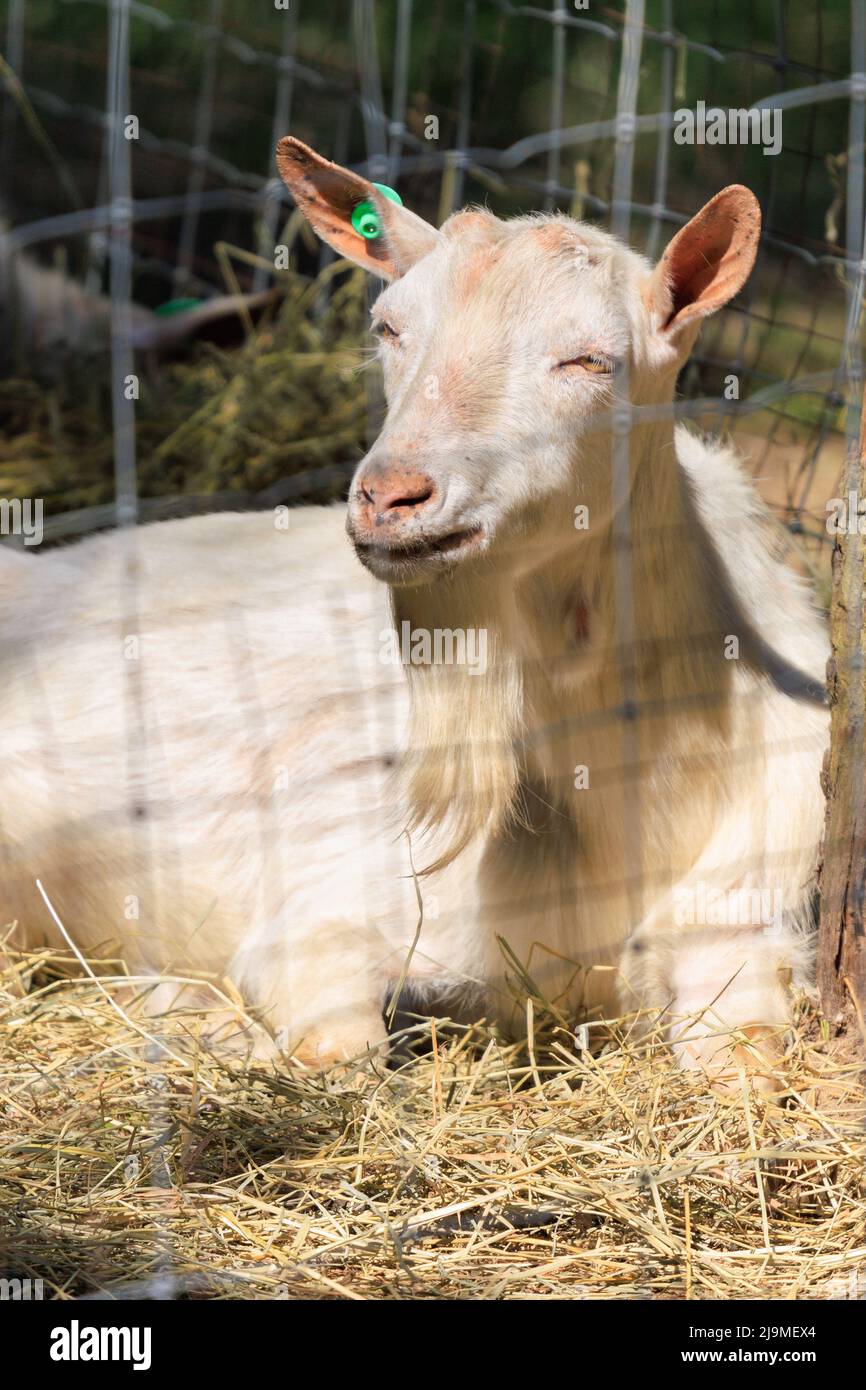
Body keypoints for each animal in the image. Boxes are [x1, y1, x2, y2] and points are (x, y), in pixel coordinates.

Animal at [0, 137, 829, 1088]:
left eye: (591, 361)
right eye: (388, 328)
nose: (390, 496)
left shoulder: (744, 910)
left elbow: (747, 1057)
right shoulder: (327, 905)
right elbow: (340, 1048)